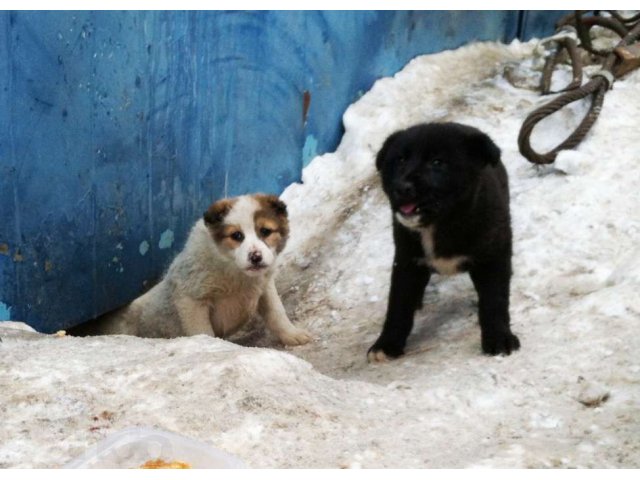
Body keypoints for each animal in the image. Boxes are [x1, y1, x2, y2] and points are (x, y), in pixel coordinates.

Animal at [71, 192, 312, 344]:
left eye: (265, 231)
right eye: (236, 236)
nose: (255, 257)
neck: (232, 270)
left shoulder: (265, 287)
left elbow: (277, 313)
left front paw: (292, 335)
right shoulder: (192, 300)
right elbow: (202, 331)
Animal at [370, 122, 520, 362]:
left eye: (437, 162)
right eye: (400, 160)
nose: (400, 188)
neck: (438, 223)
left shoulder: (493, 255)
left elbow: (494, 300)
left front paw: (498, 338)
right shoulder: (407, 260)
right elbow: (398, 304)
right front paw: (386, 344)